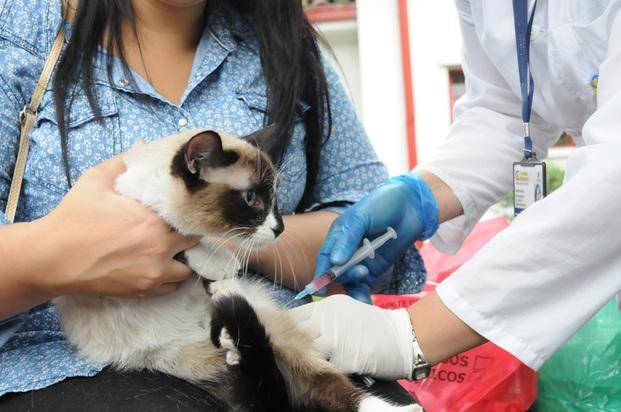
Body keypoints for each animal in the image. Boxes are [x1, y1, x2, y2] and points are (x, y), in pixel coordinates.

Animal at [54, 127, 422, 410]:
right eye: (250, 199)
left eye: (275, 199)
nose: (279, 228)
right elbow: (176, 244)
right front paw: (211, 257)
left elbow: (196, 248)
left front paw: (219, 261)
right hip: (188, 362)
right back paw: (233, 349)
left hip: (274, 331)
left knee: (327, 384)